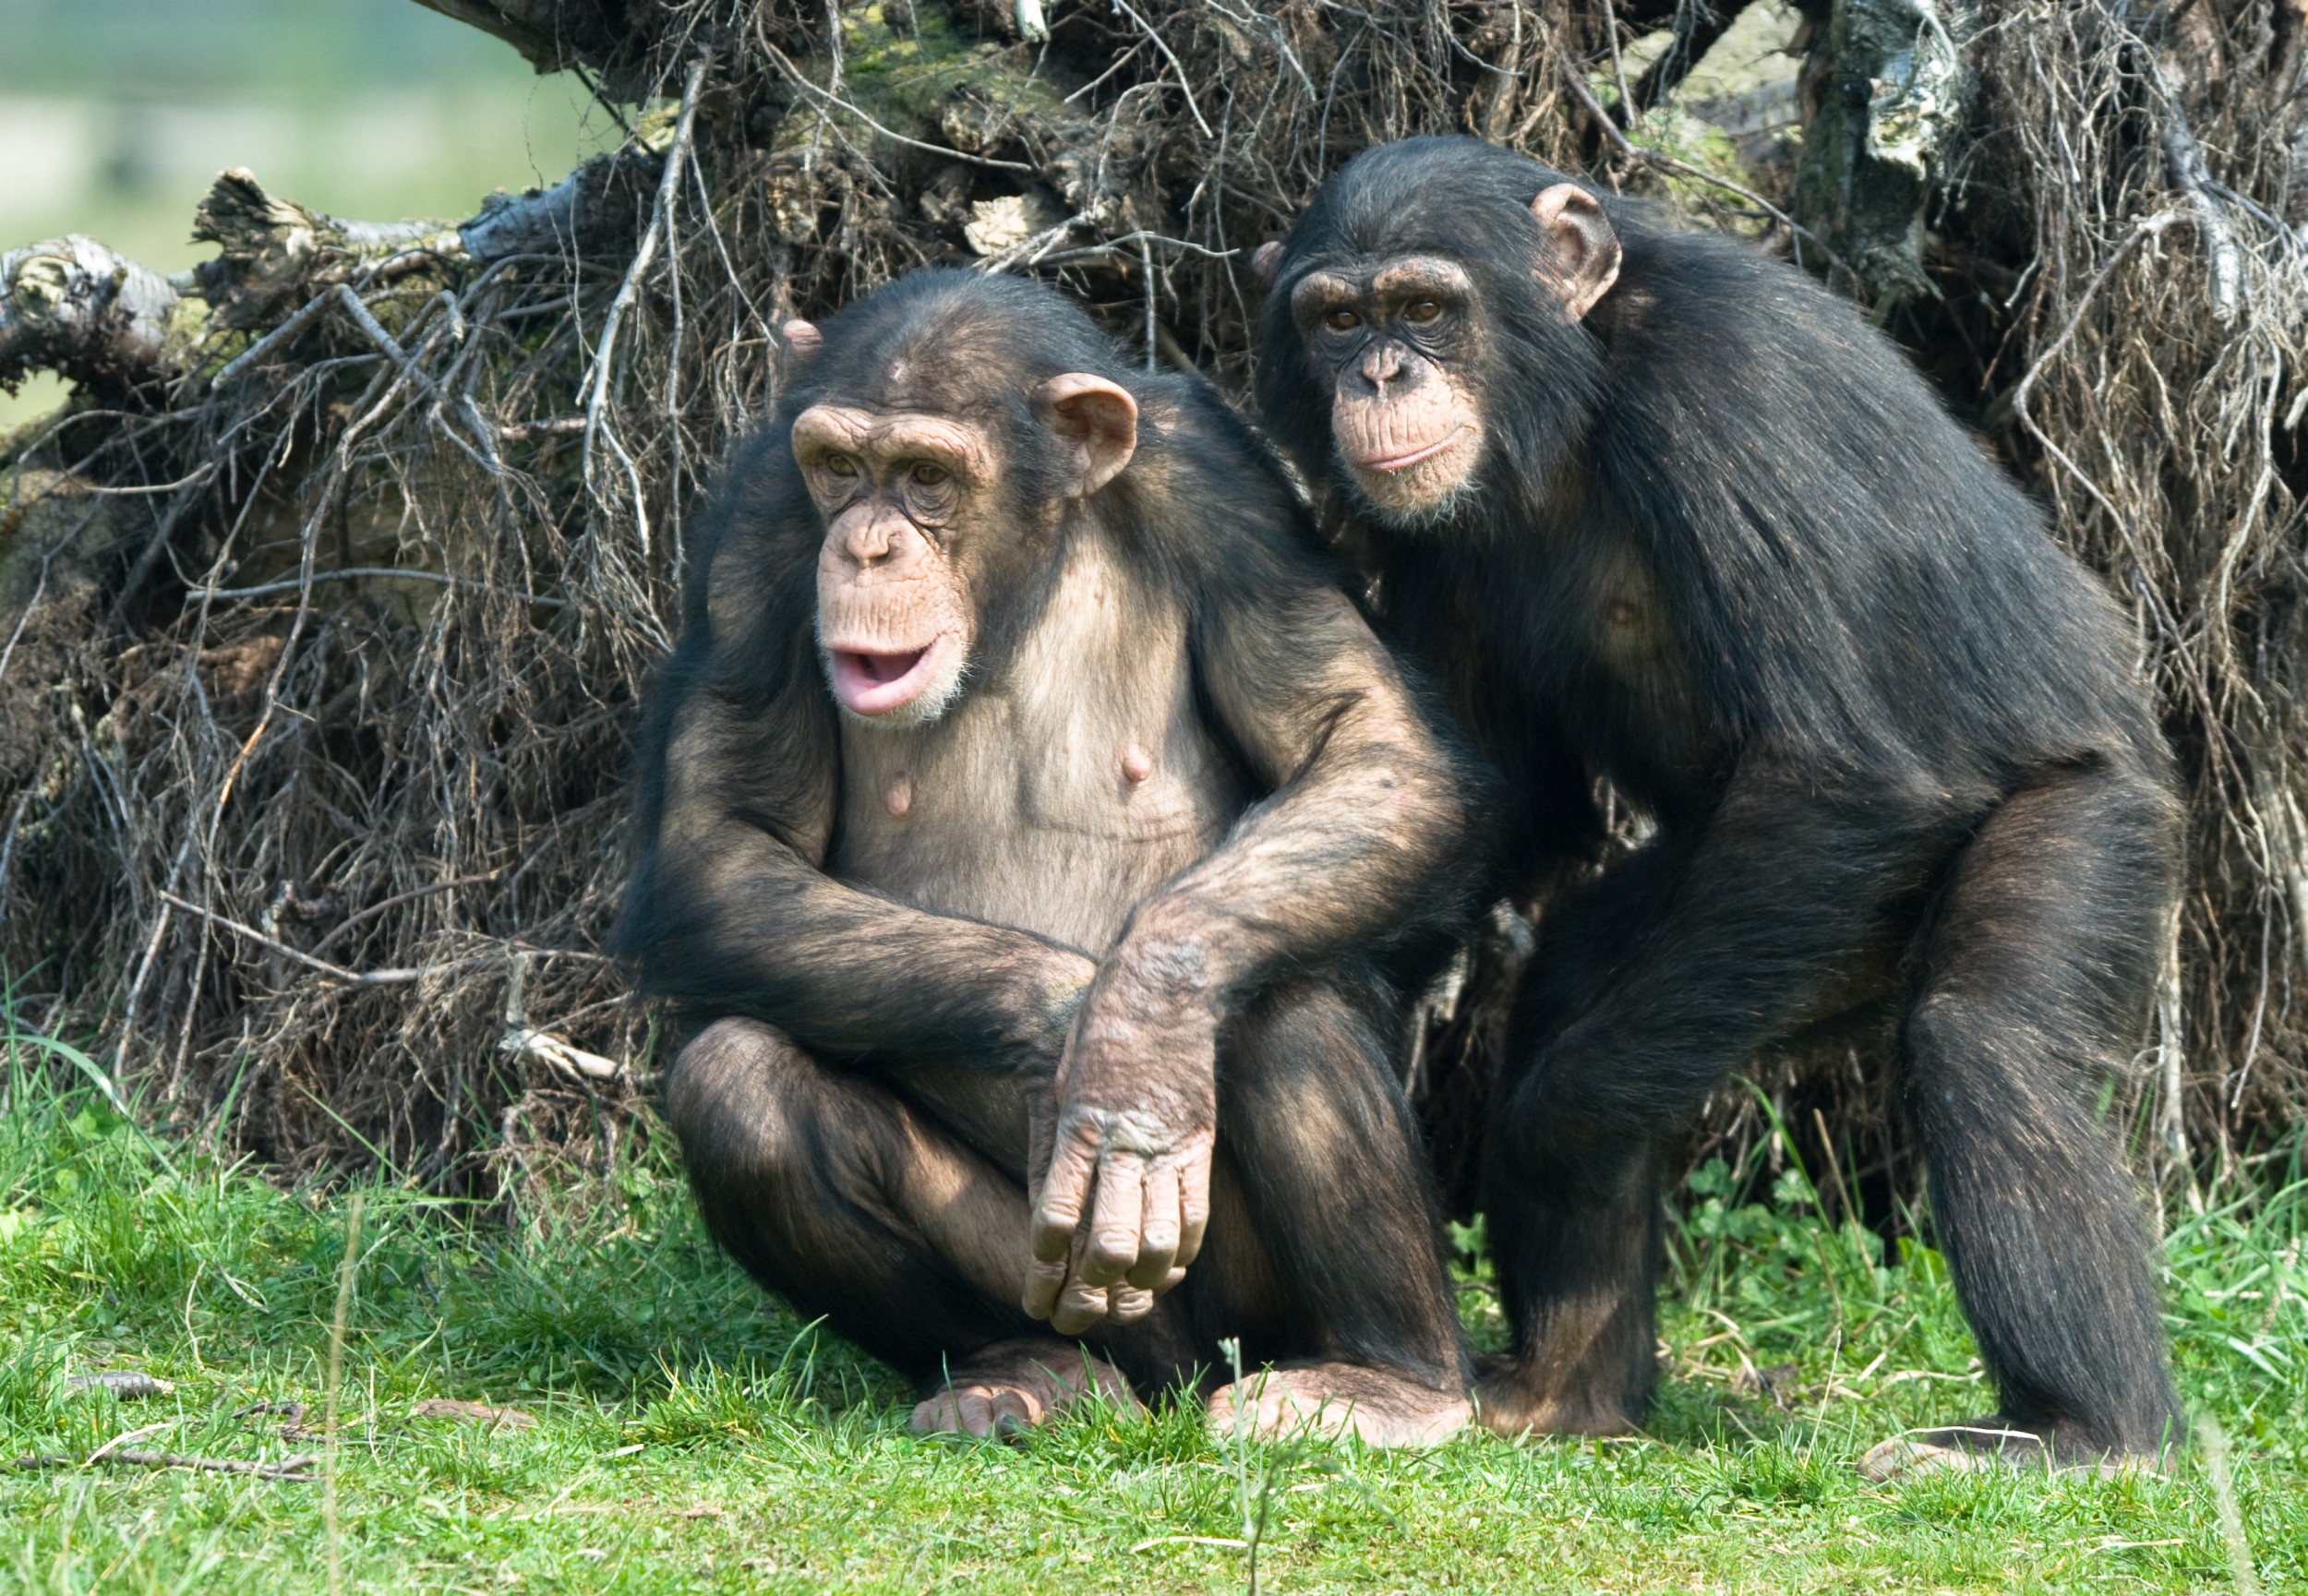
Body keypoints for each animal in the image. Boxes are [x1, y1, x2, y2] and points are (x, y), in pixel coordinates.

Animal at [614, 265, 1477, 1448]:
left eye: (926, 477)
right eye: (839, 468)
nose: (866, 544)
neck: (1016, 583)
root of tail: (1177, 1382)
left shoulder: (1223, 487)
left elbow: (1359, 741)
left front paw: (1133, 1039)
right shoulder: (758, 524)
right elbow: (724, 840)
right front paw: (1064, 1029)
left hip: (1241, 1314)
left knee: (1284, 997)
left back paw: (1390, 1380)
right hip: (1103, 1308)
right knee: (738, 1087)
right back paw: (1024, 1371)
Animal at [1256, 137, 2188, 1467]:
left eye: (1426, 306)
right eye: (1337, 319)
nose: (1381, 370)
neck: (1577, 388)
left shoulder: (1724, 392)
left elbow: (1839, 770)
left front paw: (1544, 1145)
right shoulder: (1425, 531)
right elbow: (1495, 789)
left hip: (2085, 818)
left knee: (1984, 1038)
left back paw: (2084, 1429)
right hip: (1777, 923)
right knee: (1581, 969)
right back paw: (1569, 1387)